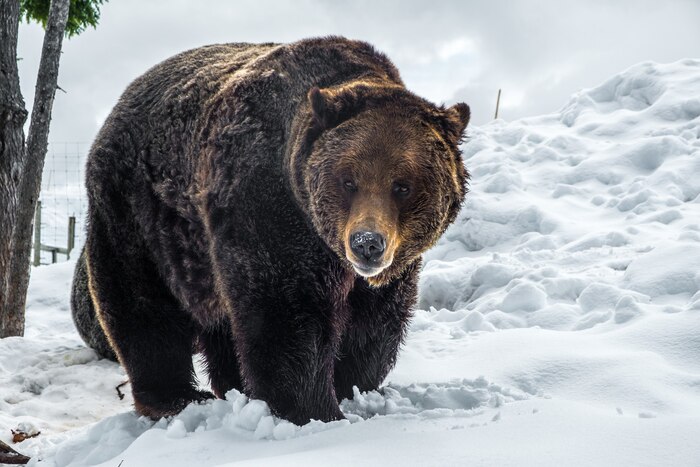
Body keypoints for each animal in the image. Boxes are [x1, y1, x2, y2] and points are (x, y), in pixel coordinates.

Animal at [71, 37, 470, 425]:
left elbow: (375, 323)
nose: (367, 244)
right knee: (141, 303)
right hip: (139, 215)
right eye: (348, 181)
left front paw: (352, 388)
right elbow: (285, 313)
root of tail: (120, 103)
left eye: (402, 185)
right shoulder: (266, 209)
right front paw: (313, 410)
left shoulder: (387, 269)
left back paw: (233, 387)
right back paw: (176, 397)